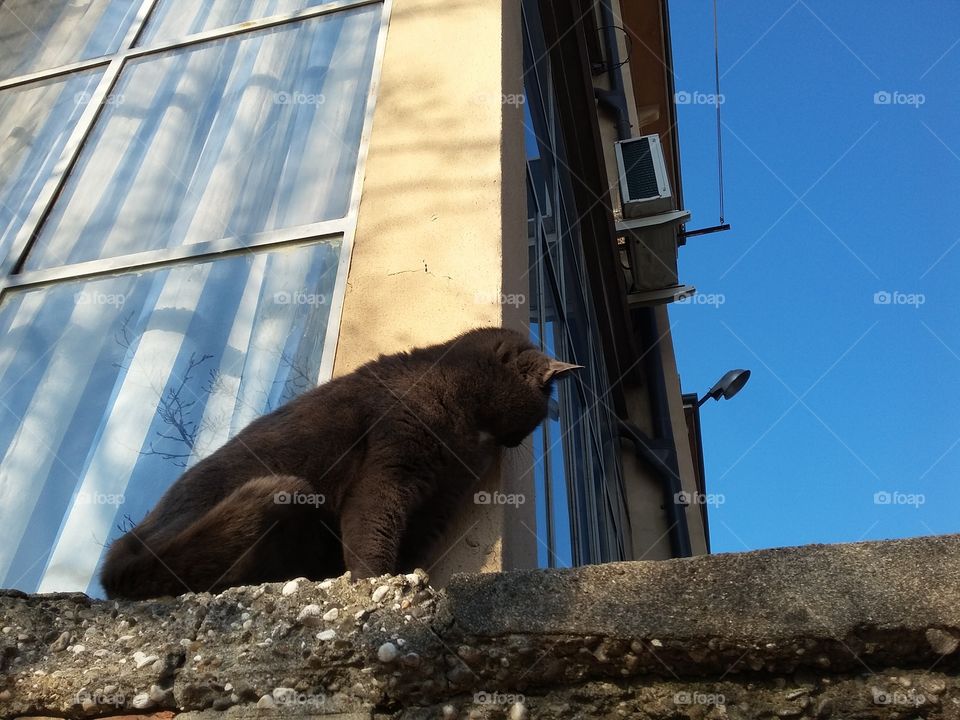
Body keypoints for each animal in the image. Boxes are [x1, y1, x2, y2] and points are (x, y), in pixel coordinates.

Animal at [99, 324, 576, 596]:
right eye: (540, 410)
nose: (521, 441)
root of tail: (117, 560)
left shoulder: (442, 498)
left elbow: (413, 540)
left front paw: (404, 577)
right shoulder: (389, 466)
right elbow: (373, 525)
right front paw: (377, 582)